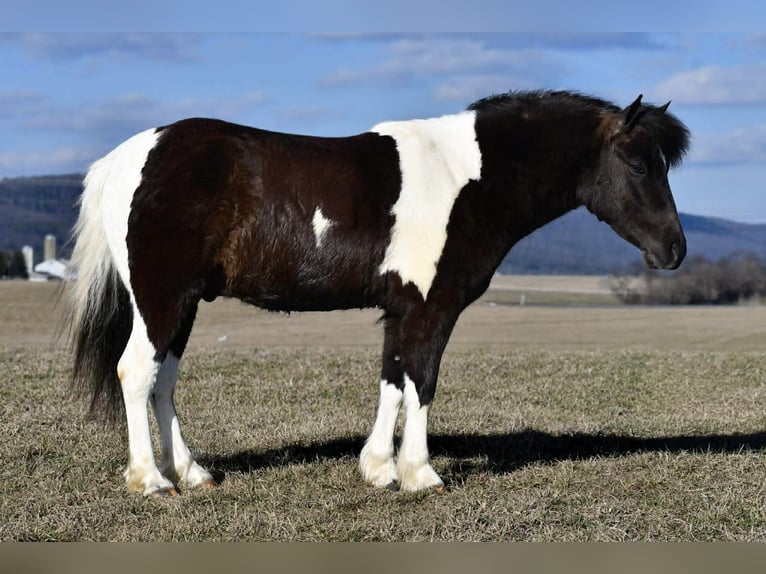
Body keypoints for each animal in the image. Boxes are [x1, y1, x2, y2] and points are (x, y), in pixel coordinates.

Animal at [66, 90, 690, 496]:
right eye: (639, 164)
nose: (675, 249)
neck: (467, 179)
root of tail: (125, 158)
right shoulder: (432, 307)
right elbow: (422, 381)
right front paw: (421, 474)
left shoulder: (401, 308)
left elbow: (392, 379)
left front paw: (379, 468)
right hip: (162, 298)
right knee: (135, 373)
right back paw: (151, 481)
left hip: (186, 303)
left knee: (163, 381)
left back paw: (191, 473)